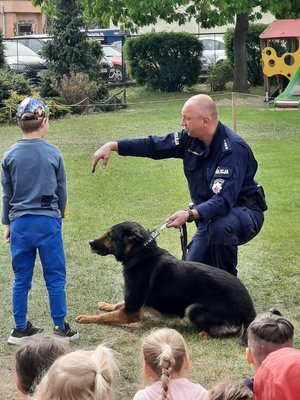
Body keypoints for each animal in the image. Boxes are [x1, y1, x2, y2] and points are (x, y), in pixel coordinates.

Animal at [75, 220, 255, 346]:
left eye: (110, 236)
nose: (90, 242)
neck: (139, 253)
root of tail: (249, 307)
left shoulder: (132, 312)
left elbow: (105, 317)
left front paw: (87, 317)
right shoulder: (132, 302)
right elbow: (117, 304)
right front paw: (105, 304)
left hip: (193, 309)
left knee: (232, 330)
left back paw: (206, 333)